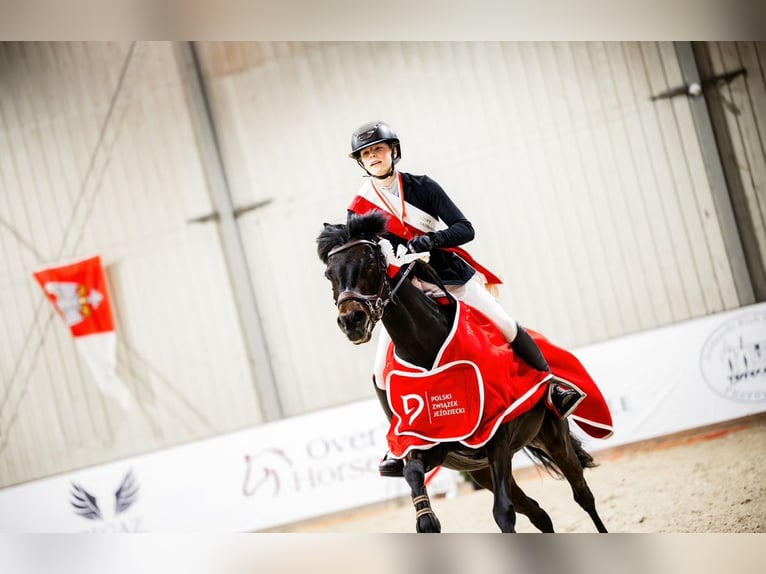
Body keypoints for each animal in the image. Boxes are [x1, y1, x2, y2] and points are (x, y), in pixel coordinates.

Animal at [316, 213, 608, 536]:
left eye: (370, 261)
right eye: (329, 273)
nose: (351, 321)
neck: (425, 350)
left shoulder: (497, 436)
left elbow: (503, 514)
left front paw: (421, 243)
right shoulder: (424, 443)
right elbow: (414, 476)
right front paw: (427, 519)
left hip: (553, 437)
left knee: (583, 495)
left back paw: (560, 396)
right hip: (480, 470)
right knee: (538, 513)